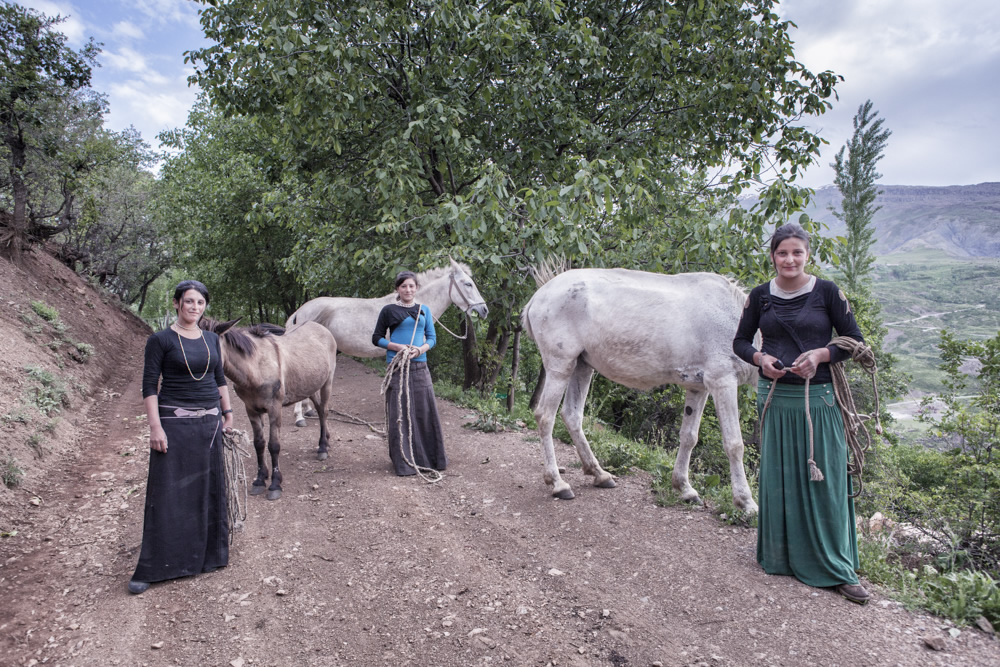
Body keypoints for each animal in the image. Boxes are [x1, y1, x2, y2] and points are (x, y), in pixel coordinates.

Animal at [201, 320, 338, 500]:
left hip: (327, 382)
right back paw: (325, 441)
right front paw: (260, 480)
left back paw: (322, 447)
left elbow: (273, 445)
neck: (256, 368)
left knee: (324, 411)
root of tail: (319, 325)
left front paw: (275, 484)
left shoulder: (275, 409)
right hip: (310, 385)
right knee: (320, 410)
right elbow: (259, 444)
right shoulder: (251, 409)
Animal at [524, 268, 756, 512]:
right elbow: (734, 443)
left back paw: (600, 474)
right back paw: (558, 483)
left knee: (571, 415)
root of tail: (537, 297)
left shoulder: (697, 388)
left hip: (582, 365)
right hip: (561, 365)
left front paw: (685, 488)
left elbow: (689, 437)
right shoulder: (723, 381)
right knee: (545, 416)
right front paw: (746, 501)